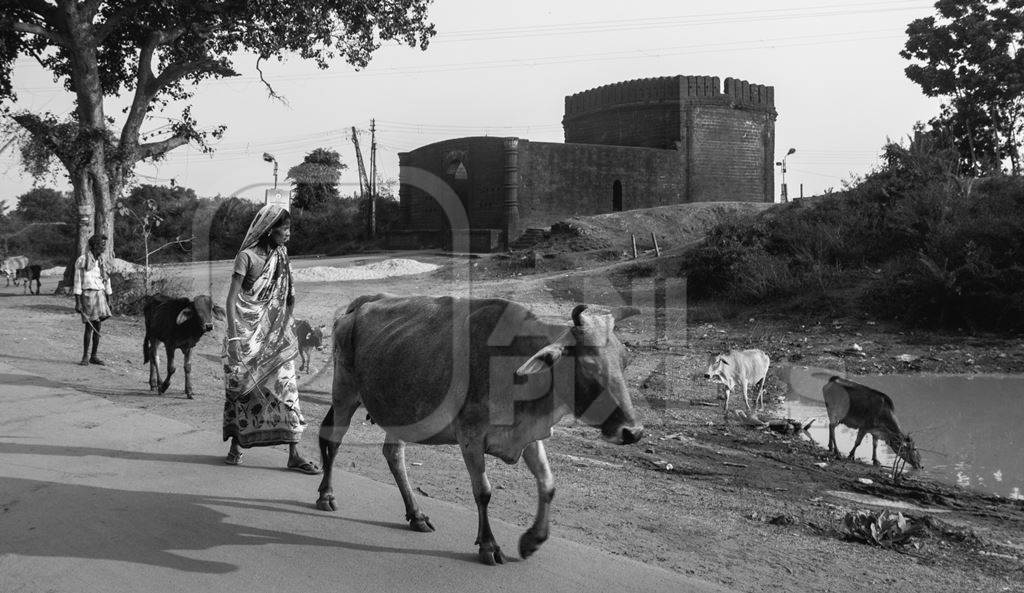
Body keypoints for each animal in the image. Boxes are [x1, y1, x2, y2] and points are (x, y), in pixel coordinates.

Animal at [315, 294, 643, 565]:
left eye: (625, 360)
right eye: (587, 365)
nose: (633, 432)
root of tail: (359, 306)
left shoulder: (527, 436)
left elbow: (548, 484)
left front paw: (532, 540)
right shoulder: (470, 437)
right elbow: (483, 492)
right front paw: (489, 545)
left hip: (397, 409)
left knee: (393, 454)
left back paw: (416, 515)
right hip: (344, 394)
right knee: (333, 440)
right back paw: (326, 496)